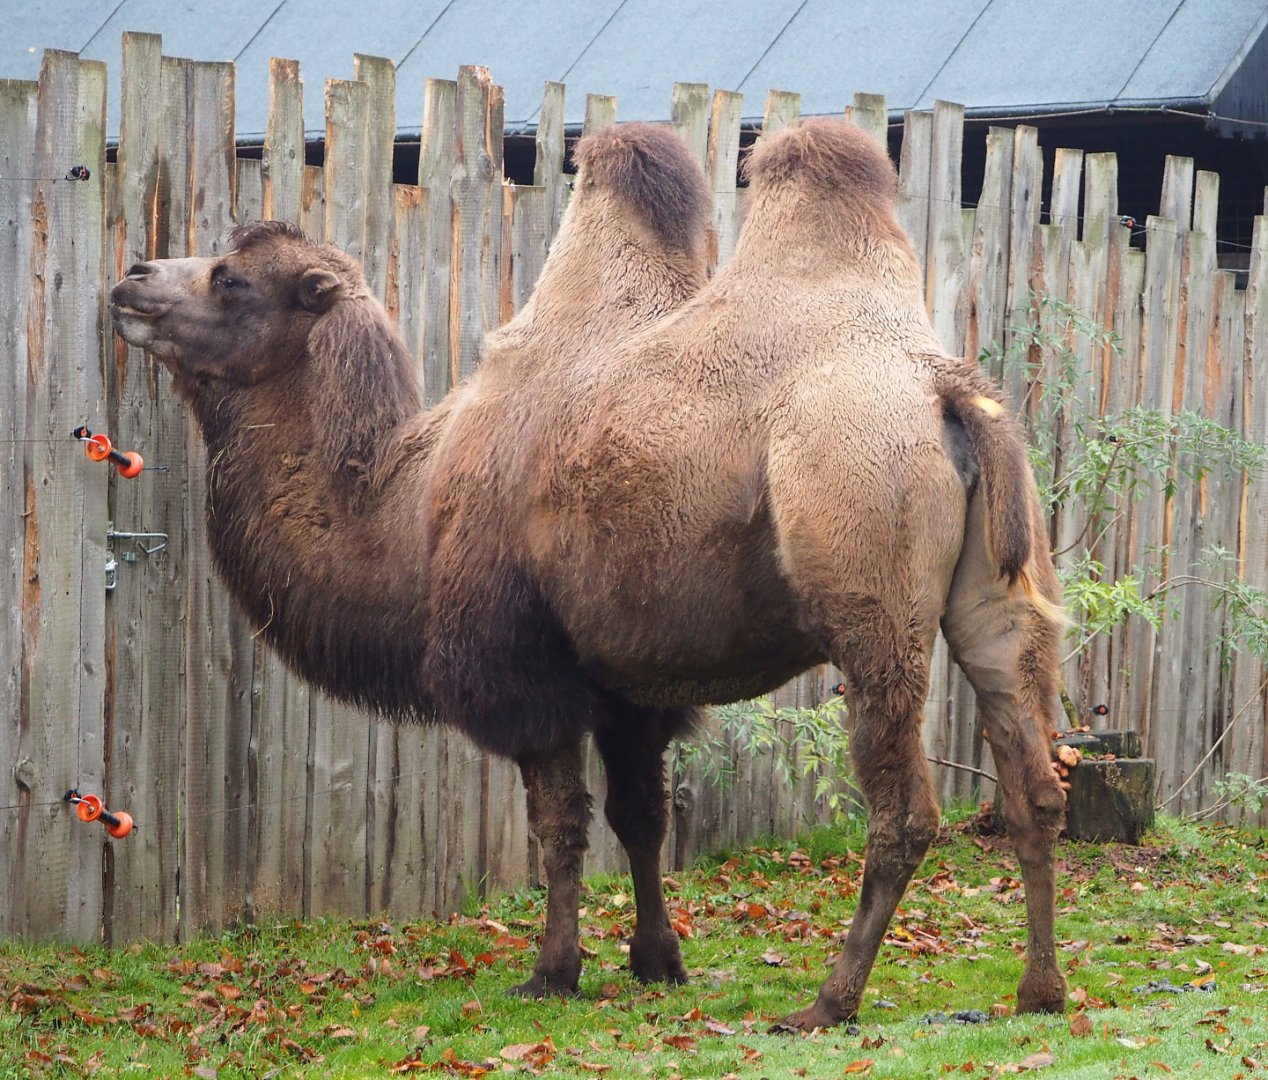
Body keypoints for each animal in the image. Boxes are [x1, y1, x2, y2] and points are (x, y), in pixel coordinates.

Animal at [110, 117, 1069, 1030]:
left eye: (232, 280)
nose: (131, 278)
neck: (402, 509)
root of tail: (945, 389)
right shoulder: (627, 680)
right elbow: (641, 817)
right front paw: (657, 960)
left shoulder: (522, 667)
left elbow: (559, 827)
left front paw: (553, 971)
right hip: (998, 596)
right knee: (1034, 780)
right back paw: (1040, 991)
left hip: (870, 592)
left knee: (905, 809)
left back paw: (829, 1002)